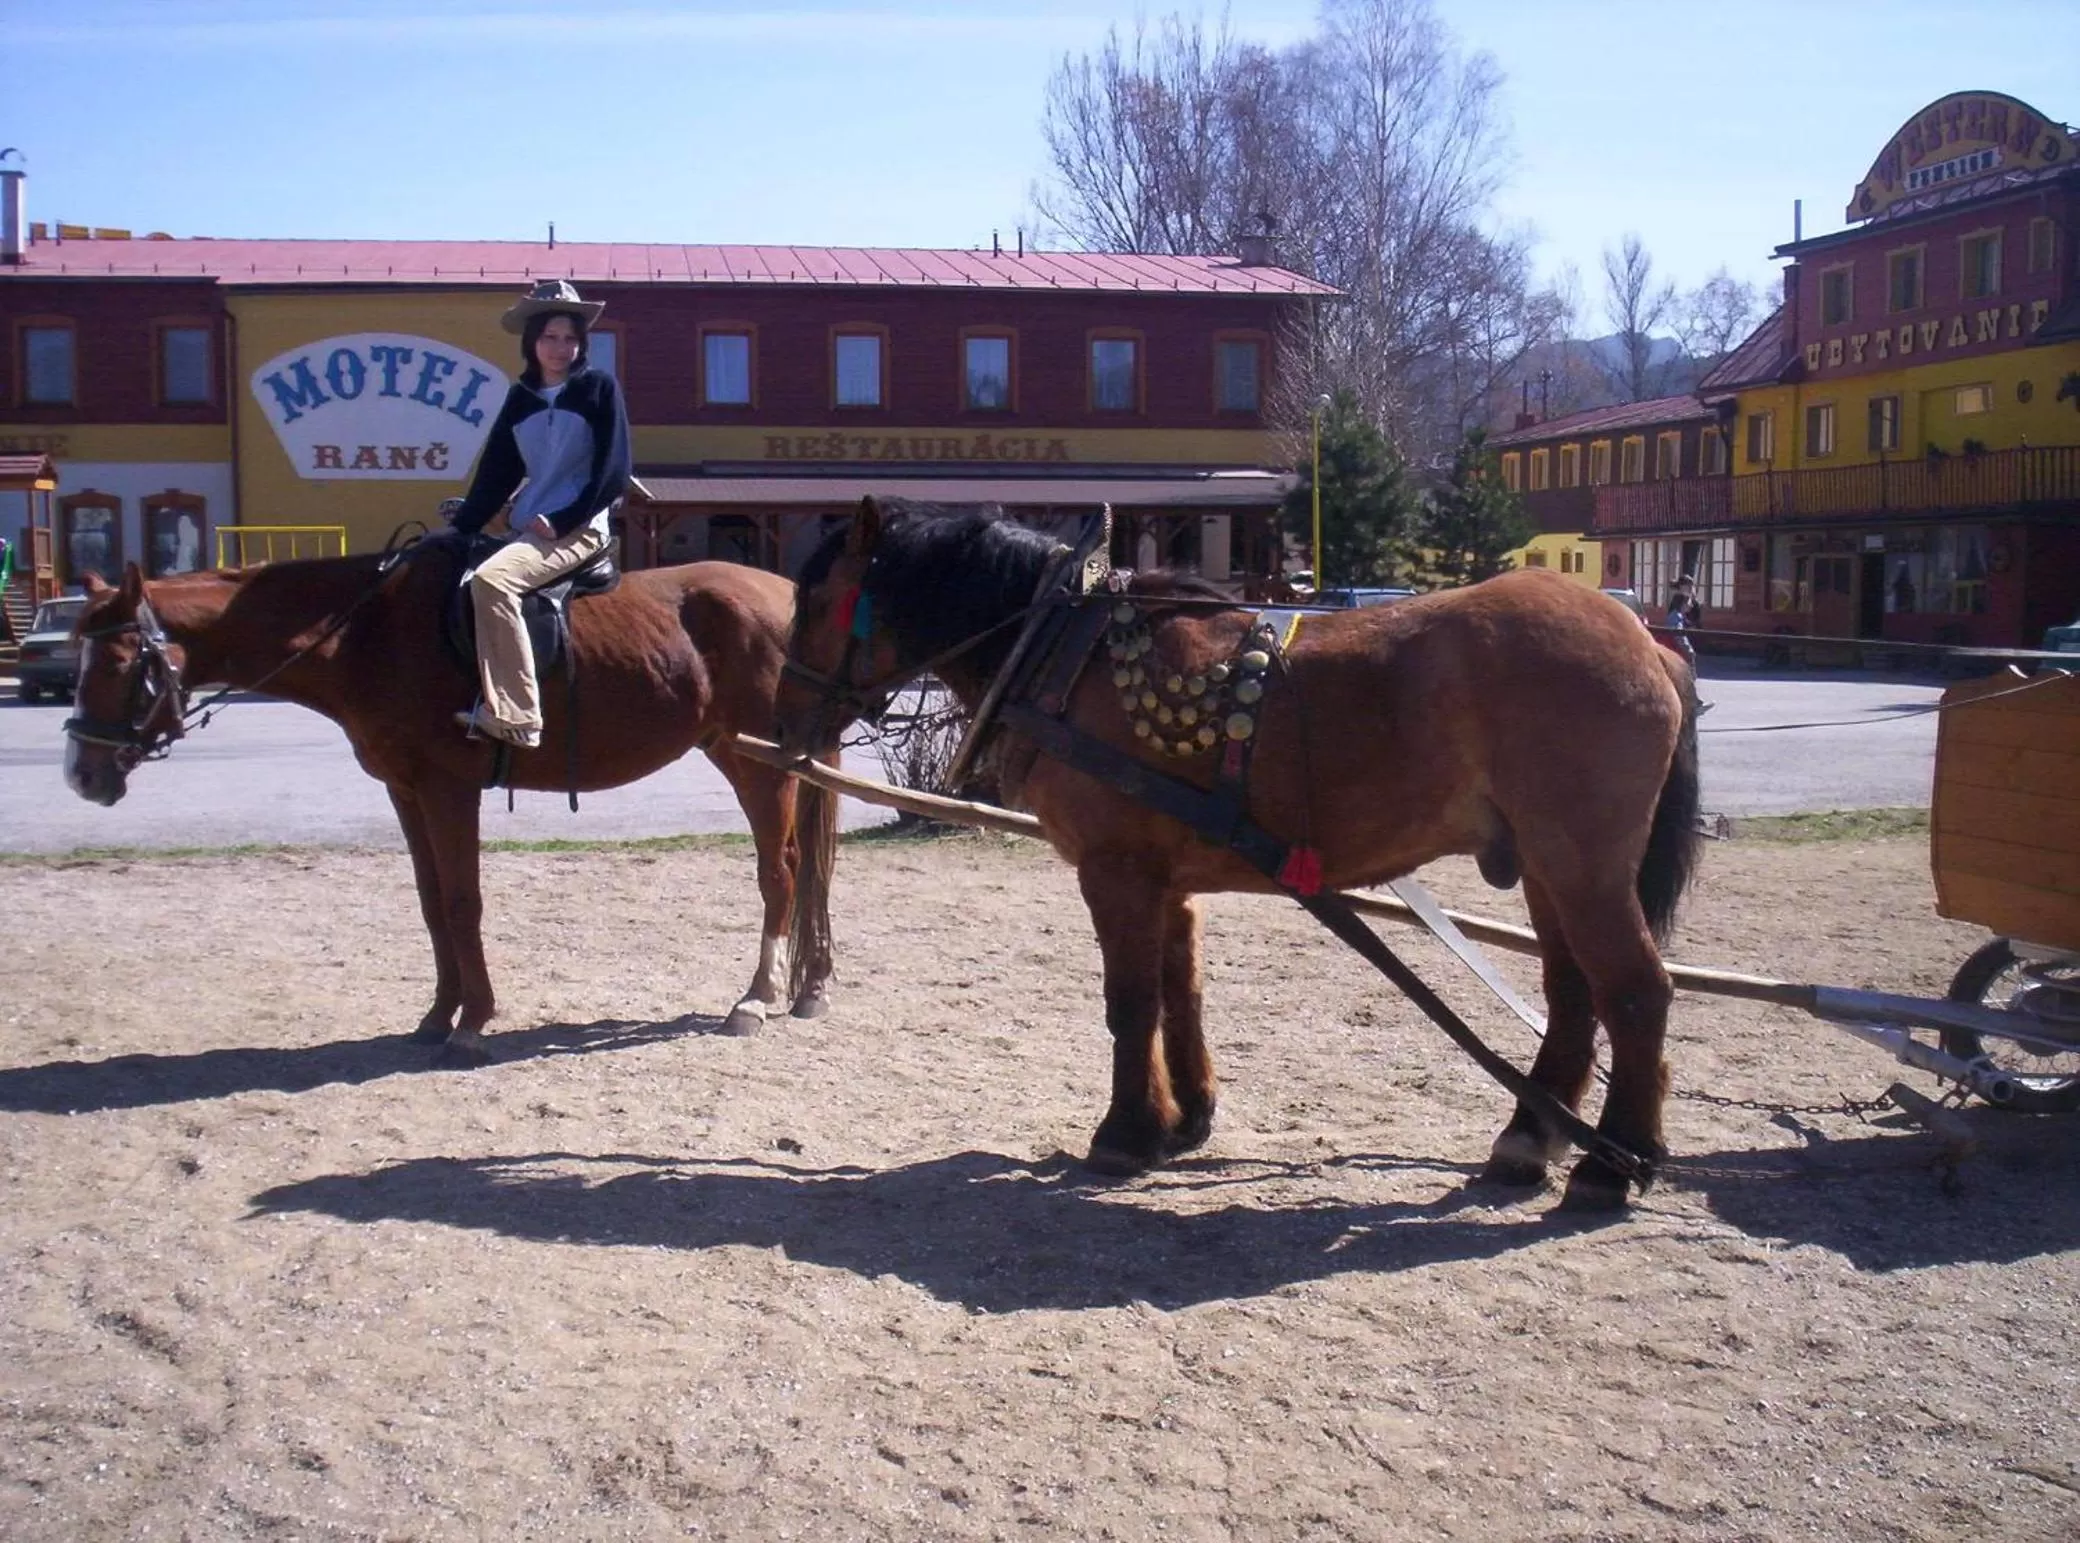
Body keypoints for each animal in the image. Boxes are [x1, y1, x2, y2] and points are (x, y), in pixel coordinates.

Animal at [64, 540, 837, 1062]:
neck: (366, 633)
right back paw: (810, 987)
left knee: (781, 872)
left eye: (117, 662)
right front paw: (439, 1013)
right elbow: (432, 904)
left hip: (759, 768)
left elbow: (463, 901)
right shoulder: (405, 789)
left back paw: (758, 996)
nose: (81, 775)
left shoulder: (447, 788)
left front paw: (474, 1020)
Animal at [777, 498, 1701, 1210]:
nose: (786, 712)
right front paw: (1184, 1116)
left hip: (1583, 863)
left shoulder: (1115, 872)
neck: (1061, 649)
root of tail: (1647, 640)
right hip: (1548, 867)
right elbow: (1179, 991)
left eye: (815, 599)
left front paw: (1125, 1130)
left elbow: (1131, 1002)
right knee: (1573, 994)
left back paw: (1611, 1164)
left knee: (1635, 992)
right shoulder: (1164, 879)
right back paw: (1530, 1138)